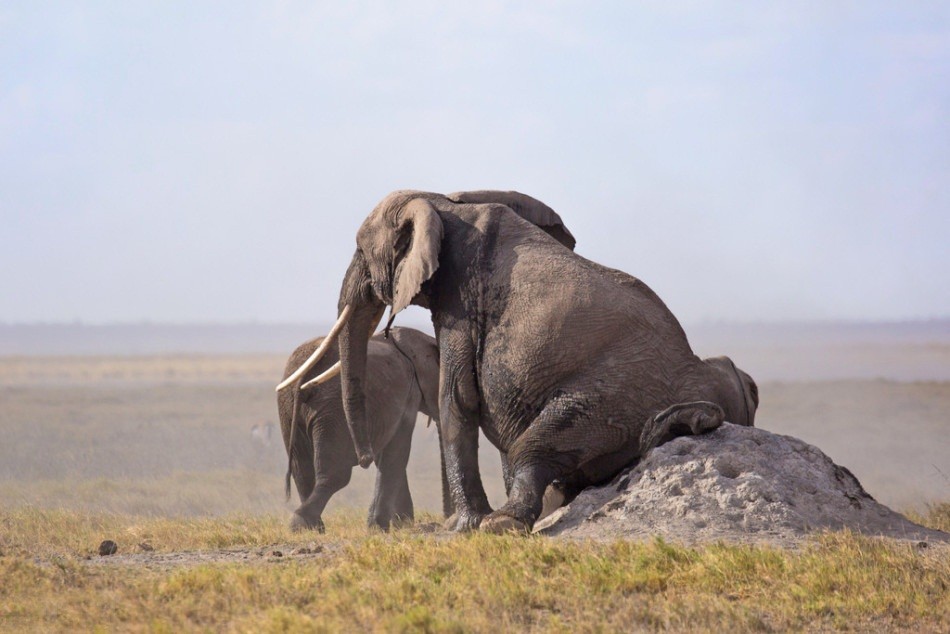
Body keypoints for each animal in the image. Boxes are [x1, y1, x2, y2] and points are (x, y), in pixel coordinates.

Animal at [274, 326, 440, 528]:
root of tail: (304, 376)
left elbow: (386, 455)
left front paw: (401, 524)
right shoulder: (408, 395)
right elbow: (396, 452)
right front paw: (383, 527)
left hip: (289, 407)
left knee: (302, 472)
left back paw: (312, 528)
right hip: (335, 410)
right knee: (336, 474)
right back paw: (300, 525)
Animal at [318, 190, 760, 532]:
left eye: (360, 251)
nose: (364, 459)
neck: (443, 202)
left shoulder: (461, 303)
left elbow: (457, 401)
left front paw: (462, 528)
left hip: (617, 397)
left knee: (533, 448)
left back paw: (503, 523)